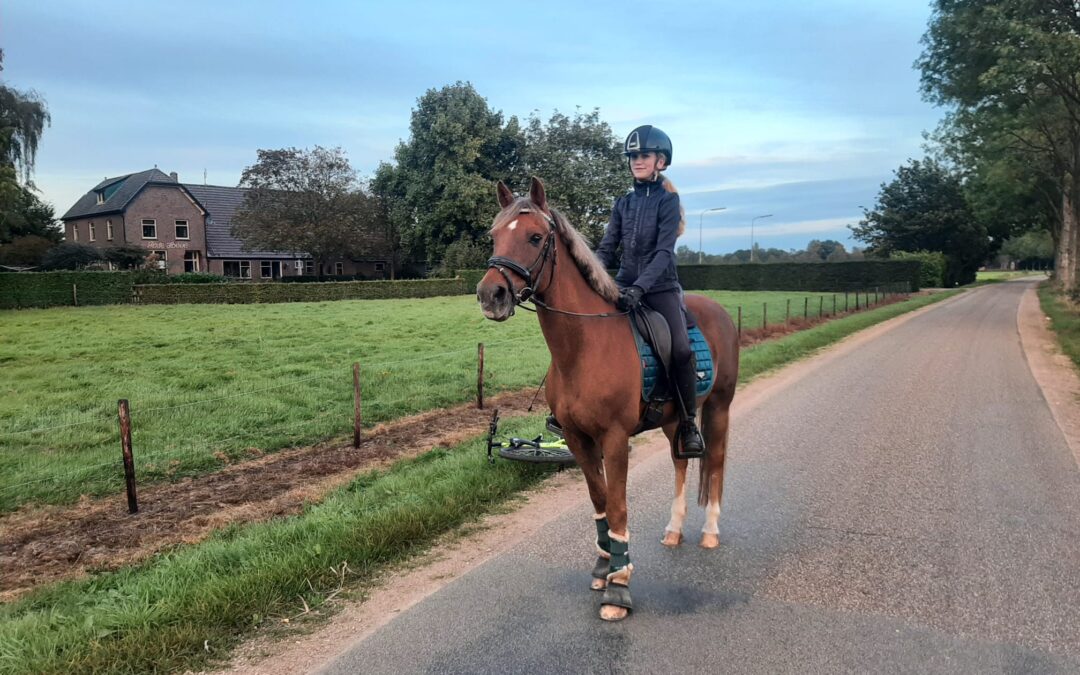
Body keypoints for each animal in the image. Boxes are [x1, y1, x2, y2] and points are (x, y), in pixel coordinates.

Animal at [477, 176, 738, 617]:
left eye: (534, 237)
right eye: (494, 235)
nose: (490, 294)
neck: (584, 345)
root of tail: (718, 310)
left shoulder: (615, 439)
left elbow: (617, 505)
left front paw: (619, 586)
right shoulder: (579, 439)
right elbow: (599, 501)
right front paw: (604, 567)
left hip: (719, 407)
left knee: (716, 462)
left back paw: (710, 531)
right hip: (675, 420)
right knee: (681, 463)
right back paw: (674, 529)